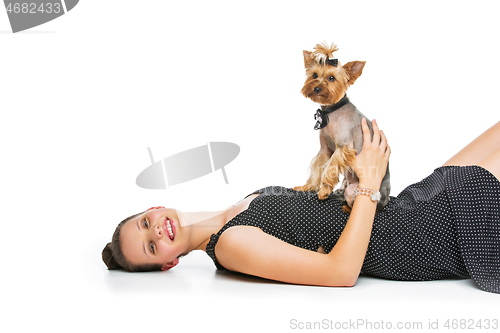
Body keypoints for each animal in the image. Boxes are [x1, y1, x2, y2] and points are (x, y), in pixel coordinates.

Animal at [292, 42, 390, 213]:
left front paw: (324, 190)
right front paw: (308, 186)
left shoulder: (343, 146)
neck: (331, 111)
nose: (316, 88)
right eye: (314, 75)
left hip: (354, 192)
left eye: (332, 78)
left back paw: (346, 208)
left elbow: (329, 168)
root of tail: (385, 200)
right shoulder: (325, 150)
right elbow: (318, 168)